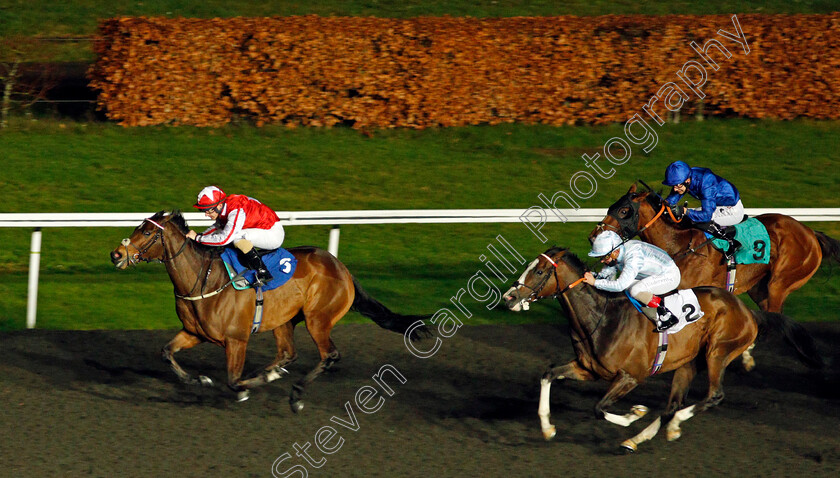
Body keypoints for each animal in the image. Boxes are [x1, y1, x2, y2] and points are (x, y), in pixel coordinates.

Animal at [108, 211, 430, 412]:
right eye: (138, 227)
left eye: (147, 231)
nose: (116, 254)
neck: (204, 279)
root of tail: (342, 268)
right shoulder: (194, 332)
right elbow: (166, 352)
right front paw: (201, 380)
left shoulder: (237, 340)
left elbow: (233, 379)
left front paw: (248, 387)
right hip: (284, 320)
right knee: (288, 353)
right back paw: (273, 372)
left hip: (318, 319)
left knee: (329, 355)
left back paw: (295, 394)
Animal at [502, 246, 824, 452]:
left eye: (539, 271)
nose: (508, 298)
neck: (601, 318)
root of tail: (748, 312)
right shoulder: (588, 369)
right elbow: (548, 374)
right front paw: (547, 428)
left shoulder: (631, 376)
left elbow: (599, 408)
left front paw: (634, 413)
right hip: (688, 362)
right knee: (672, 405)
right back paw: (636, 440)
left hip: (717, 352)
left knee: (712, 396)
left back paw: (670, 427)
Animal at [592, 183, 840, 370]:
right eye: (612, 206)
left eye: (624, 211)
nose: (593, 236)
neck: (680, 244)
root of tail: (811, 233)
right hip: (759, 287)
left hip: (780, 282)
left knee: (771, 317)